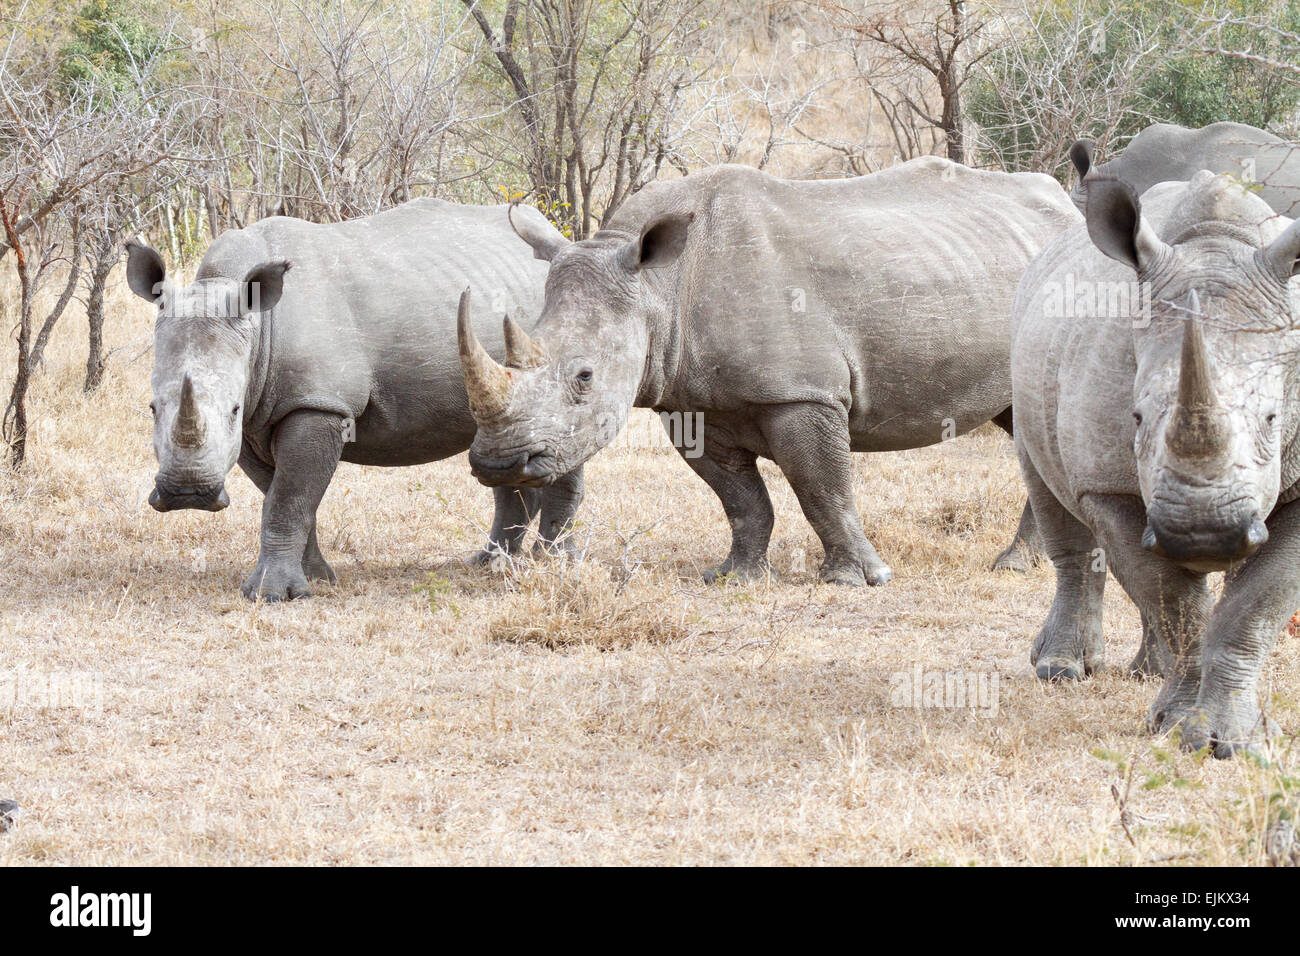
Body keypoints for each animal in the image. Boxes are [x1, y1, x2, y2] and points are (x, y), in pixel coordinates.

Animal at [125, 199, 584, 601]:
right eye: (152, 408)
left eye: (232, 410)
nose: (188, 495)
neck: (255, 325)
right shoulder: (258, 418)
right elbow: (285, 495)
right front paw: (318, 578)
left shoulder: (316, 402)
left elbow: (288, 498)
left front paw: (272, 595)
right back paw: (488, 563)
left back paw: (551, 562)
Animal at [454, 159, 1079, 586]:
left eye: (584, 377)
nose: (497, 464)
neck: (659, 286)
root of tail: (1069, 206)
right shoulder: (691, 402)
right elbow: (741, 498)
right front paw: (734, 576)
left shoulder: (802, 393)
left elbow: (821, 487)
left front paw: (858, 580)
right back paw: (1021, 563)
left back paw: (1012, 565)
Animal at [1011, 170, 1300, 756]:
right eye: (1137, 417)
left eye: (1272, 418)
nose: (1202, 534)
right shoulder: (1109, 486)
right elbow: (1177, 603)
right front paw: (1180, 728)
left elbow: (1255, 607)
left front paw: (1236, 741)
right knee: (1055, 506)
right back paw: (1062, 670)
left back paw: (1149, 673)